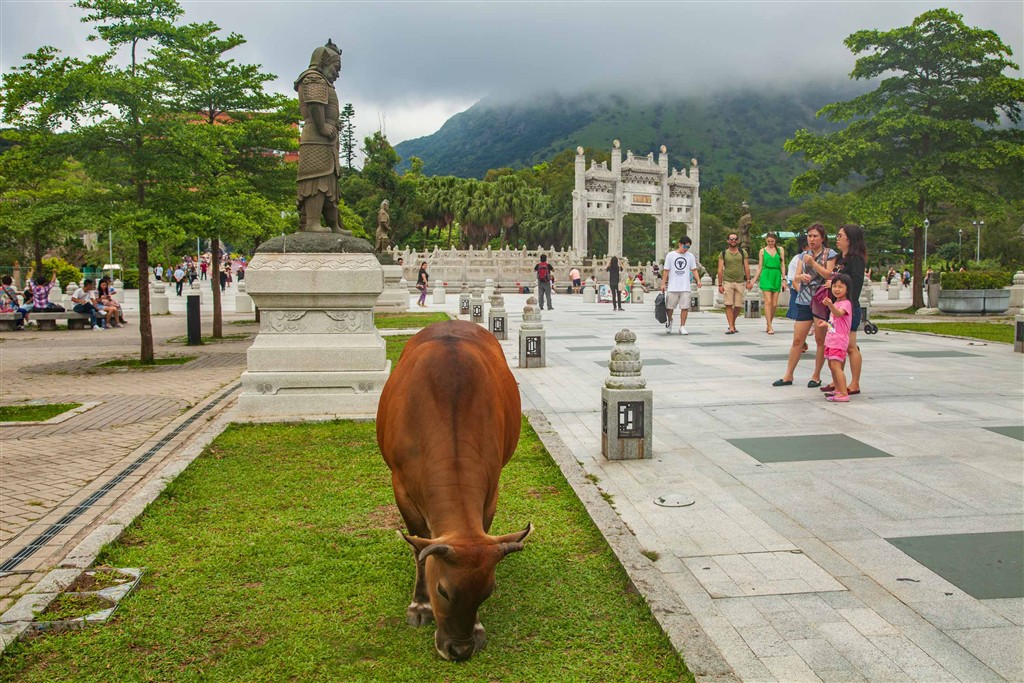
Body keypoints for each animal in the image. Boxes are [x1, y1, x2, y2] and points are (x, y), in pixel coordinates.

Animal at [377, 320, 532, 661]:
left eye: (487, 591)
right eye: (442, 590)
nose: (460, 650)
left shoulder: (491, 491)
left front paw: (478, 626)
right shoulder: (400, 487)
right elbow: (419, 547)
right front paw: (419, 605)